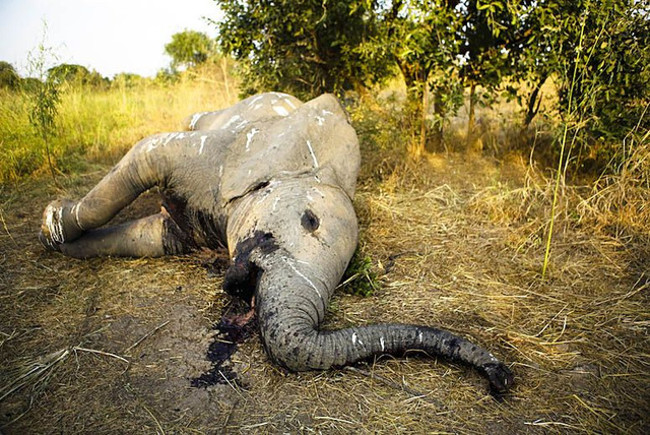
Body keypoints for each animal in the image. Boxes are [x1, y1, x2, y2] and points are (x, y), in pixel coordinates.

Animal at [39, 92, 514, 395]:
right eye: (309, 221)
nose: (500, 377)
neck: (311, 170)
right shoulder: (222, 156)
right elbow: (147, 155)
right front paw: (50, 225)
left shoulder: (187, 231)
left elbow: (155, 238)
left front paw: (60, 242)